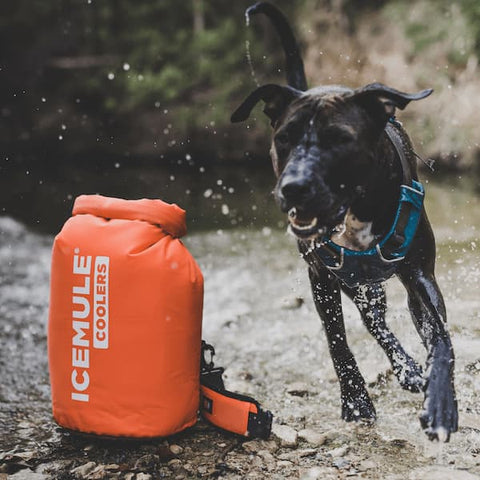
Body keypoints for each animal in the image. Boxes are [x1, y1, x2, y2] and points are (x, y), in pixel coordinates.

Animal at [232, 1, 458, 440]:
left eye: (340, 139)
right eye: (283, 138)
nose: (294, 187)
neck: (355, 210)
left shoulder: (420, 275)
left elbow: (440, 339)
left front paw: (440, 402)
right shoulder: (321, 276)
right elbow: (337, 340)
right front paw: (355, 400)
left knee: (392, 323)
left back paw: (413, 371)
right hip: (359, 285)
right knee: (373, 322)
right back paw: (405, 369)